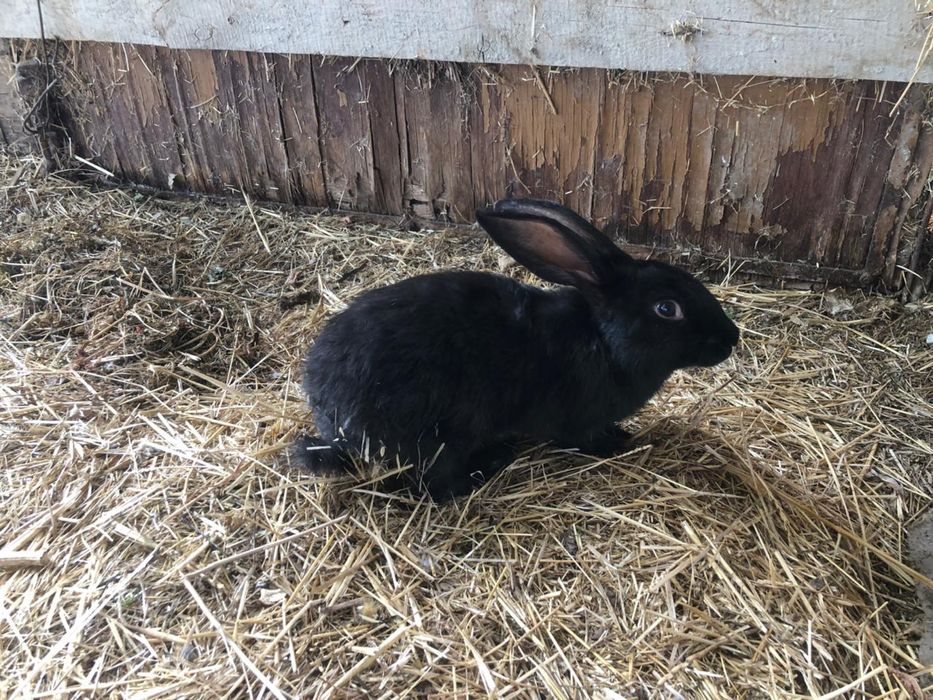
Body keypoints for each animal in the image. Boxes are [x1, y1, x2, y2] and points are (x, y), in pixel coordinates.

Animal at [295, 198, 740, 501]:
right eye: (667, 308)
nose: (731, 339)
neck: (604, 339)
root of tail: (337, 431)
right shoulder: (575, 420)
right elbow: (581, 439)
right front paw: (616, 443)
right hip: (442, 434)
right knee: (436, 485)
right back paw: (486, 467)